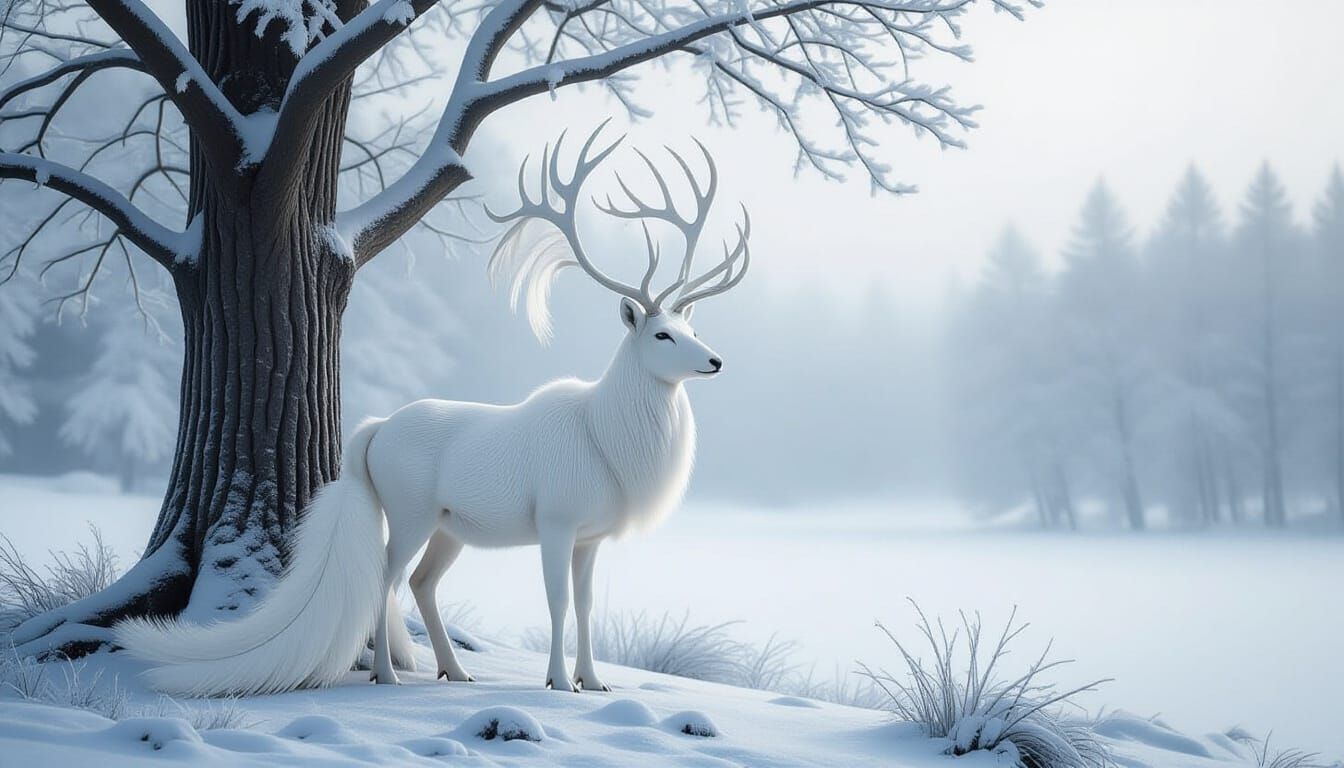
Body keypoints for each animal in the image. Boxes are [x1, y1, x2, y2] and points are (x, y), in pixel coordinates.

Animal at [113, 123, 752, 697]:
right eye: (662, 334)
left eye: (693, 329)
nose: (716, 360)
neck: (610, 446)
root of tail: (372, 432)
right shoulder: (556, 518)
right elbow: (557, 600)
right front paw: (555, 680)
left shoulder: (591, 535)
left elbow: (588, 602)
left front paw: (593, 681)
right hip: (410, 508)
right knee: (387, 576)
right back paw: (388, 673)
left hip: (450, 525)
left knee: (421, 582)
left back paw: (454, 669)